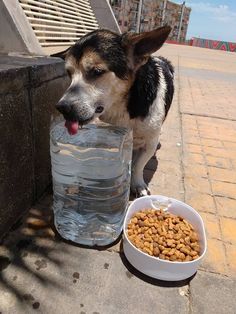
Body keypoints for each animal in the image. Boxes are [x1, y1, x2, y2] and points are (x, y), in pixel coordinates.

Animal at [54, 25, 173, 196]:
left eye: (96, 72)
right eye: (69, 74)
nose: (62, 107)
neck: (123, 106)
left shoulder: (149, 142)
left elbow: (138, 166)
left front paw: (138, 184)